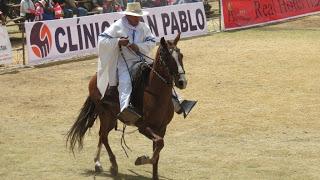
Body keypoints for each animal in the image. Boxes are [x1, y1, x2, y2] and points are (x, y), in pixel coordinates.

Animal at [67, 32, 188, 180]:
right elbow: (159, 145)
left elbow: (158, 150)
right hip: (105, 115)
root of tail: (95, 78)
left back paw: (98, 162)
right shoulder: (143, 127)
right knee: (103, 136)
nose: (182, 82)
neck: (155, 95)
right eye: (167, 57)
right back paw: (112, 165)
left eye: (180, 55)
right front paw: (142, 159)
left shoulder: (161, 128)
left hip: (112, 117)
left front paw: (154, 173)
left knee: (102, 135)